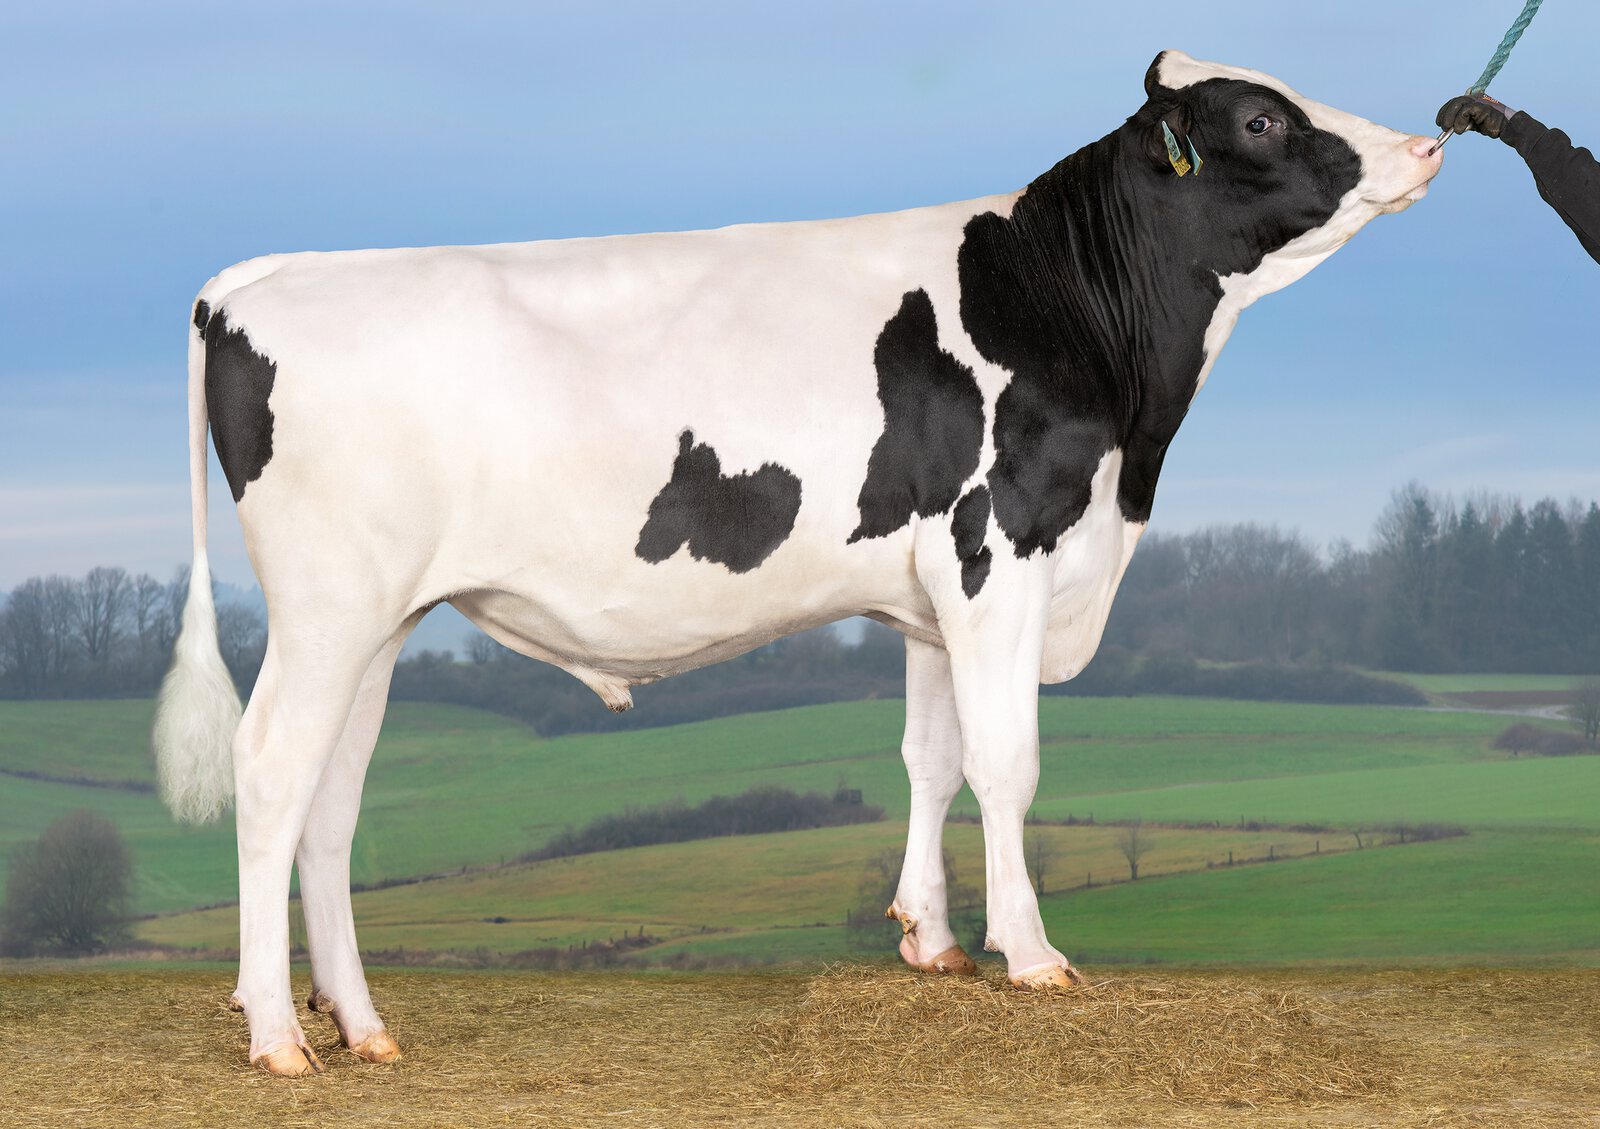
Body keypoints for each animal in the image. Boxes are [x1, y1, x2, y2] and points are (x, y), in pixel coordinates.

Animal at [153, 51, 1443, 1075]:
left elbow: (931, 756)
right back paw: (277, 1033)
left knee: (330, 800)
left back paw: (361, 1025)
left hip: (379, 617)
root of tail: (256, 279)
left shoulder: (932, 587)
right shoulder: (998, 545)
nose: (1430, 141)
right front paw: (1030, 955)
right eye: (1261, 120)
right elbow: (1006, 763)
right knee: (269, 770)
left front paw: (930, 939)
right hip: (328, 605)